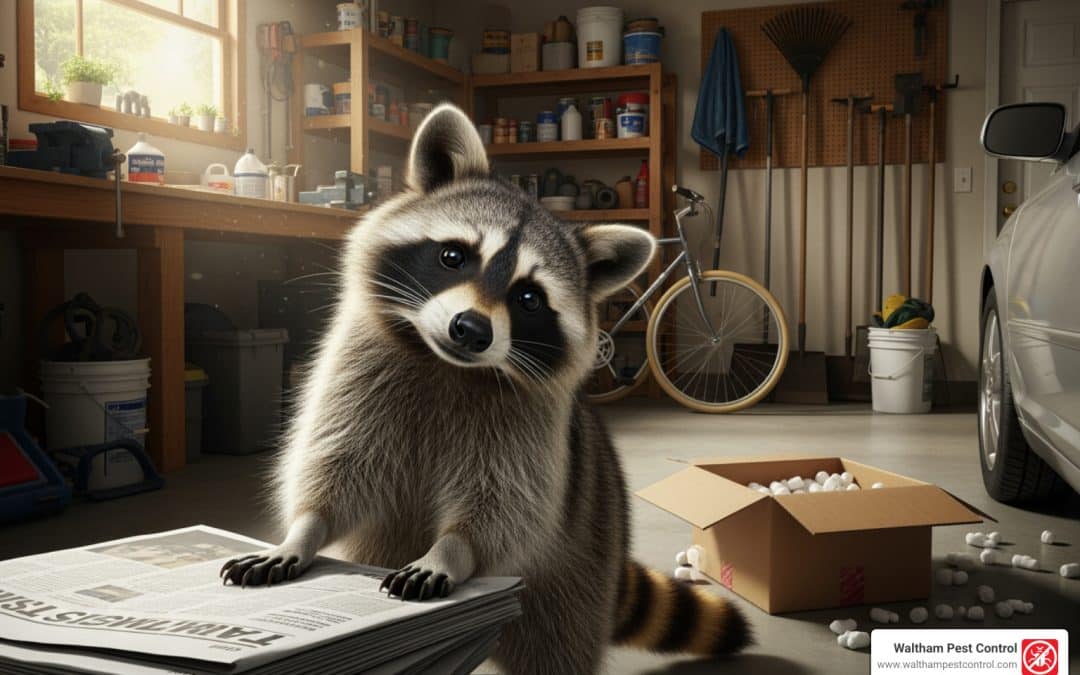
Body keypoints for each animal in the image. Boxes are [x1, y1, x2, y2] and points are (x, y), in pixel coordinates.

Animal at [220, 104, 750, 673]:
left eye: (528, 298)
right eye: (453, 256)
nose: (471, 330)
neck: (445, 365)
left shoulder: (530, 426)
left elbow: (506, 503)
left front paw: (451, 550)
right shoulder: (357, 377)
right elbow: (335, 465)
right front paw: (304, 530)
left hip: (580, 563)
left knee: (558, 646)